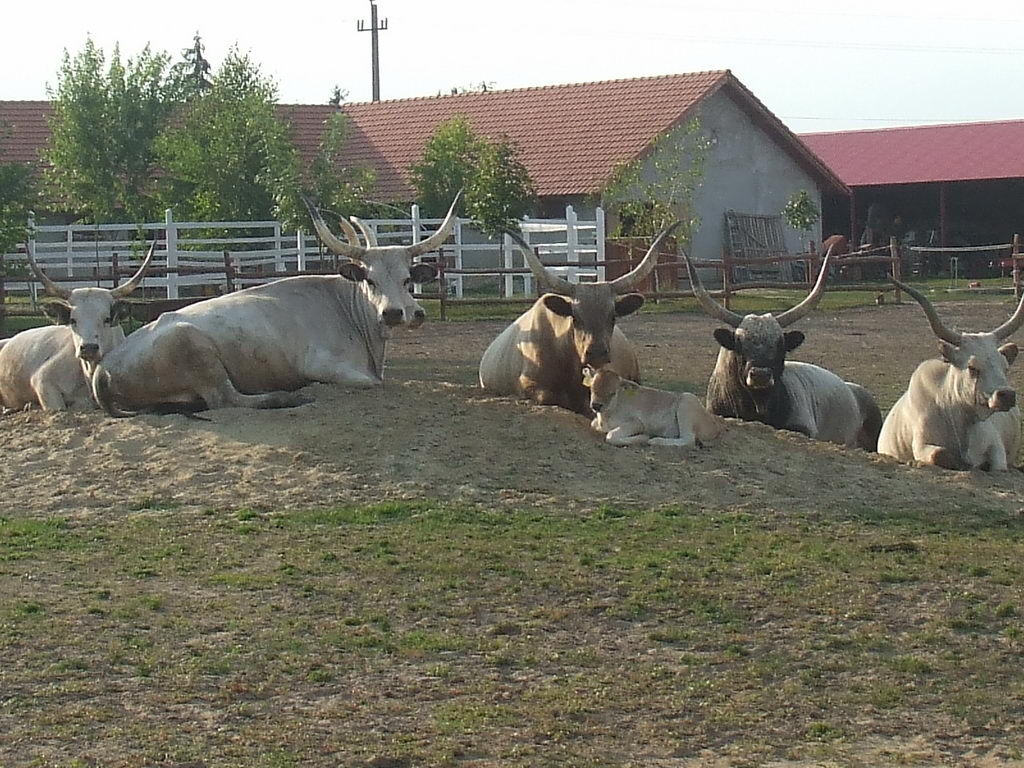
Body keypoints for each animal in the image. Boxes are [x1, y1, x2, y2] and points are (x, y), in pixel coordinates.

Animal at [90, 195, 460, 416]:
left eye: (407, 280)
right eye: (370, 281)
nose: (395, 313)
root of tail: (104, 368)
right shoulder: (325, 366)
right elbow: (375, 383)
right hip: (196, 350)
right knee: (226, 399)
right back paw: (287, 396)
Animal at [585, 366, 723, 447]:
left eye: (612, 392)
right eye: (592, 388)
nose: (596, 405)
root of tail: (715, 427)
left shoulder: (637, 423)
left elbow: (610, 436)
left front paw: (643, 437)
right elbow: (593, 425)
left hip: (686, 404)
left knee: (688, 439)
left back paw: (655, 440)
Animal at [878, 279, 1024, 470]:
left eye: (1005, 367)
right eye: (972, 367)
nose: (1007, 395)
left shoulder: (996, 446)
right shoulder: (922, 445)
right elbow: (939, 454)